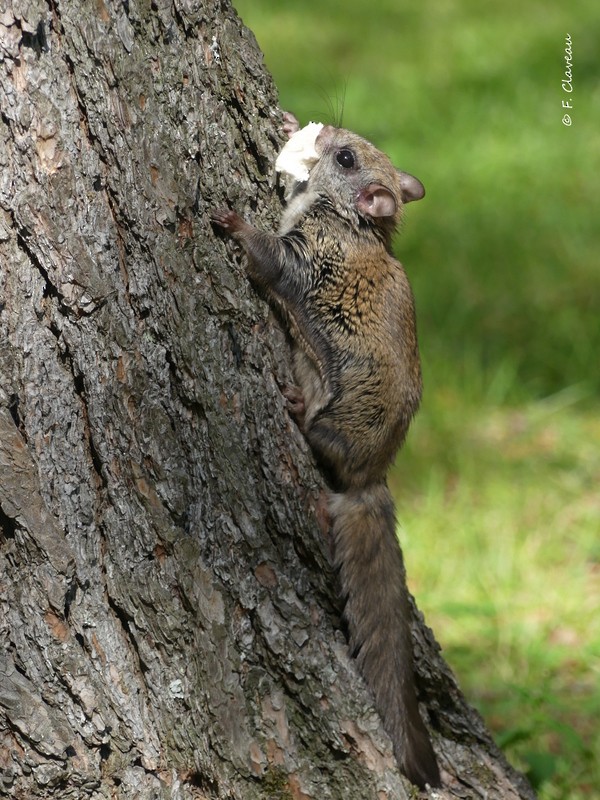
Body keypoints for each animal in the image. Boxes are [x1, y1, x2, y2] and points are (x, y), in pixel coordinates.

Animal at [211, 112, 440, 790]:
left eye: (344, 159)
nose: (331, 130)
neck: (347, 223)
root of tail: (373, 475)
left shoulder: (309, 261)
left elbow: (269, 260)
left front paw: (238, 225)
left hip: (342, 423)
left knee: (324, 451)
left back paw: (298, 418)